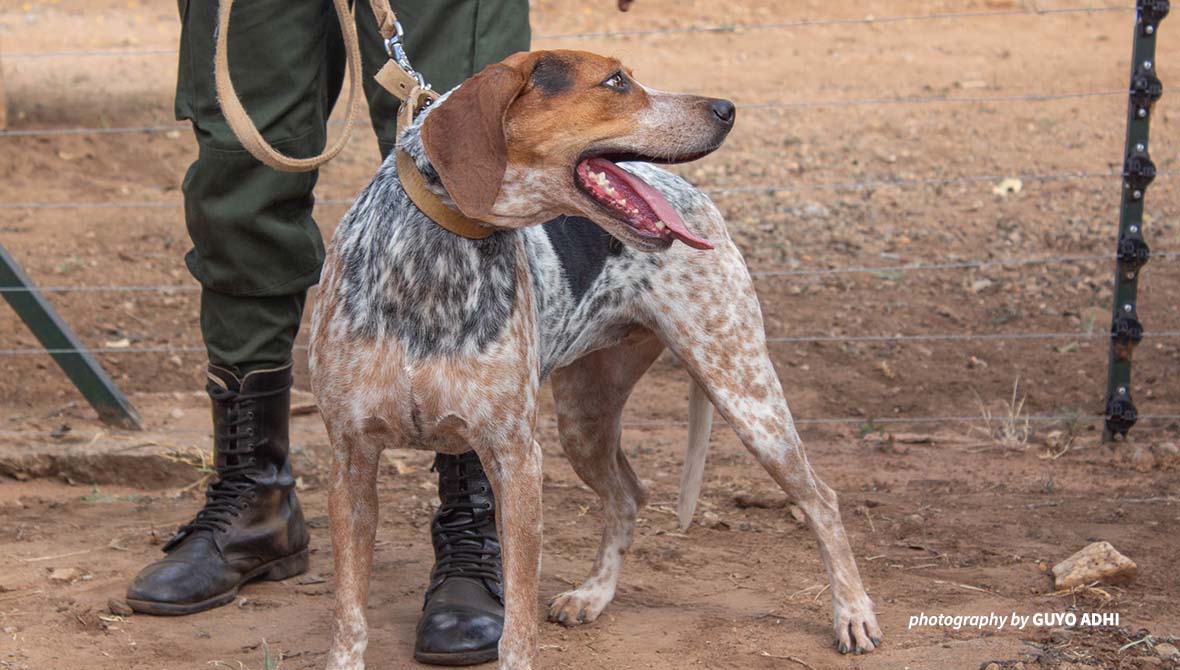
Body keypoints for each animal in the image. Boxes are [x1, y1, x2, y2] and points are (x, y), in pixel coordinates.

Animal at [309, 49, 882, 665]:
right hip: (584, 421)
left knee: (822, 500)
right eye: (616, 81)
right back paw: (594, 595)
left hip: (747, 396)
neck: (433, 260)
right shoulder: (350, 460)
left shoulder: (515, 459)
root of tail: (692, 193)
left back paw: (853, 614)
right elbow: (348, 615)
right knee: (630, 495)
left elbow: (517, 628)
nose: (728, 107)